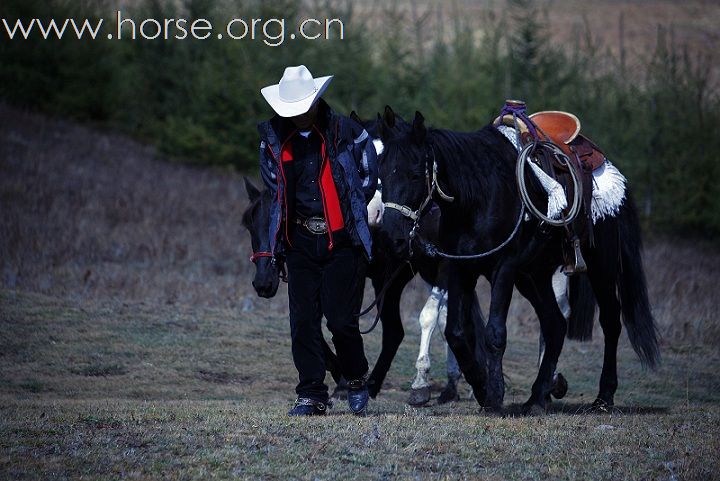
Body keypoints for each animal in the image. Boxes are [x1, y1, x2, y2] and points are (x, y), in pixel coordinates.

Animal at [380, 109, 660, 412]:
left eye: (414, 175)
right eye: (381, 174)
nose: (393, 237)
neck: (479, 195)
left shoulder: (504, 268)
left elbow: (494, 334)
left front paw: (494, 397)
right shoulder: (460, 267)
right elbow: (456, 332)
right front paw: (481, 387)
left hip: (601, 267)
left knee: (610, 321)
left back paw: (603, 397)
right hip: (534, 276)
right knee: (555, 324)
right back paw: (537, 398)